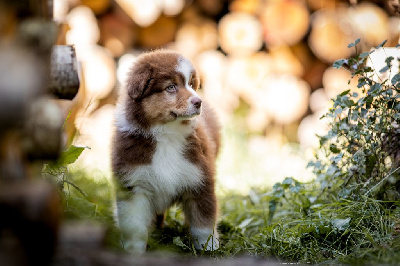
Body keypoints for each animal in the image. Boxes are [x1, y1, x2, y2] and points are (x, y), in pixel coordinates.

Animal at [111, 49, 220, 254]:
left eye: (191, 84)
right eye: (171, 87)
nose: (199, 101)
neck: (166, 134)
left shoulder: (199, 179)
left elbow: (203, 222)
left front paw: (209, 249)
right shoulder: (134, 184)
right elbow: (134, 225)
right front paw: (133, 250)